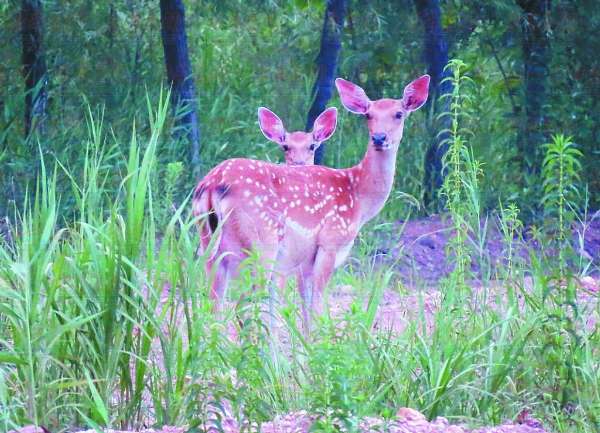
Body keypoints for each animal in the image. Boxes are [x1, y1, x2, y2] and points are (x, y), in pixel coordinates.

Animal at [195, 74, 428, 330]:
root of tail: (212, 185)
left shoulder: (304, 261)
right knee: (245, 307)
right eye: (368, 114)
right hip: (261, 243)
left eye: (399, 114)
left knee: (213, 307)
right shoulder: (330, 242)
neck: (359, 197)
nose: (379, 138)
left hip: (210, 246)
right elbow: (316, 308)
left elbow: (305, 311)